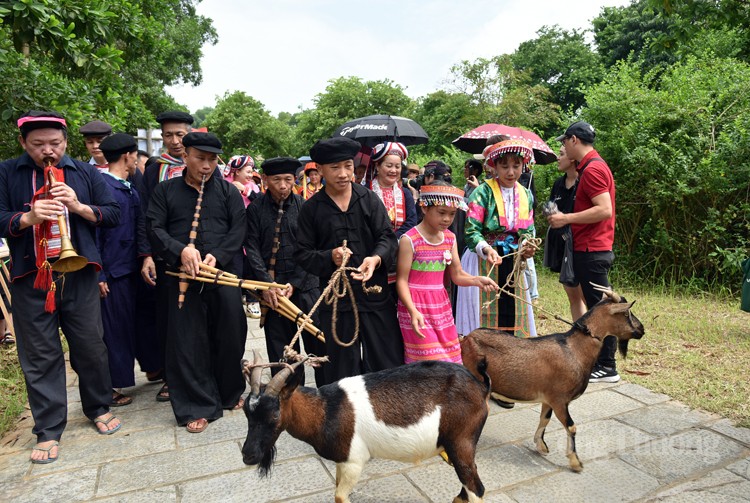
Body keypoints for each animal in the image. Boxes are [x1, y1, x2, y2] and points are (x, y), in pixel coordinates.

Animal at [241, 352, 496, 503]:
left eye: (274, 416)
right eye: (246, 413)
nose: (247, 456)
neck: (325, 409)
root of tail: (481, 387)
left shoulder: (355, 461)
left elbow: (340, 496)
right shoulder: (342, 460)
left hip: (461, 442)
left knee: (476, 487)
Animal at [458, 290, 648, 474]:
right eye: (626, 313)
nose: (642, 330)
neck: (574, 349)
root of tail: (465, 338)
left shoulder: (549, 398)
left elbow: (545, 419)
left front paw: (541, 445)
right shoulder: (559, 400)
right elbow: (571, 427)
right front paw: (575, 462)